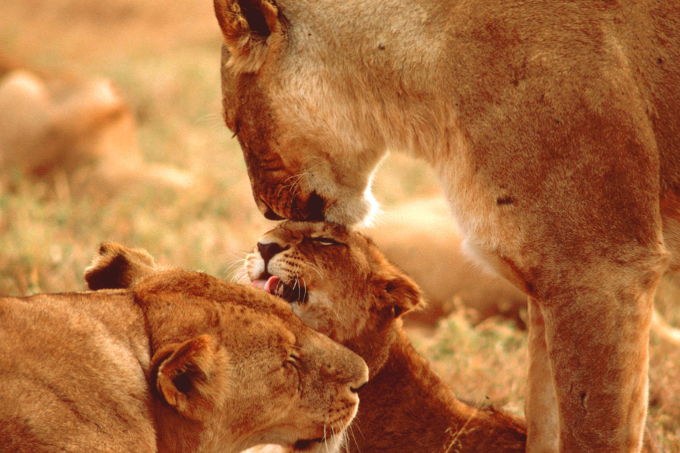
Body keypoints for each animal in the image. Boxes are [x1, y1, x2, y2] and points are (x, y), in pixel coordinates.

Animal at [212, 1, 680, 450]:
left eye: (234, 126)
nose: (266, 226)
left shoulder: (602, 272)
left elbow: (594, 431)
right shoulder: (548, 286)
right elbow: (545, 425)